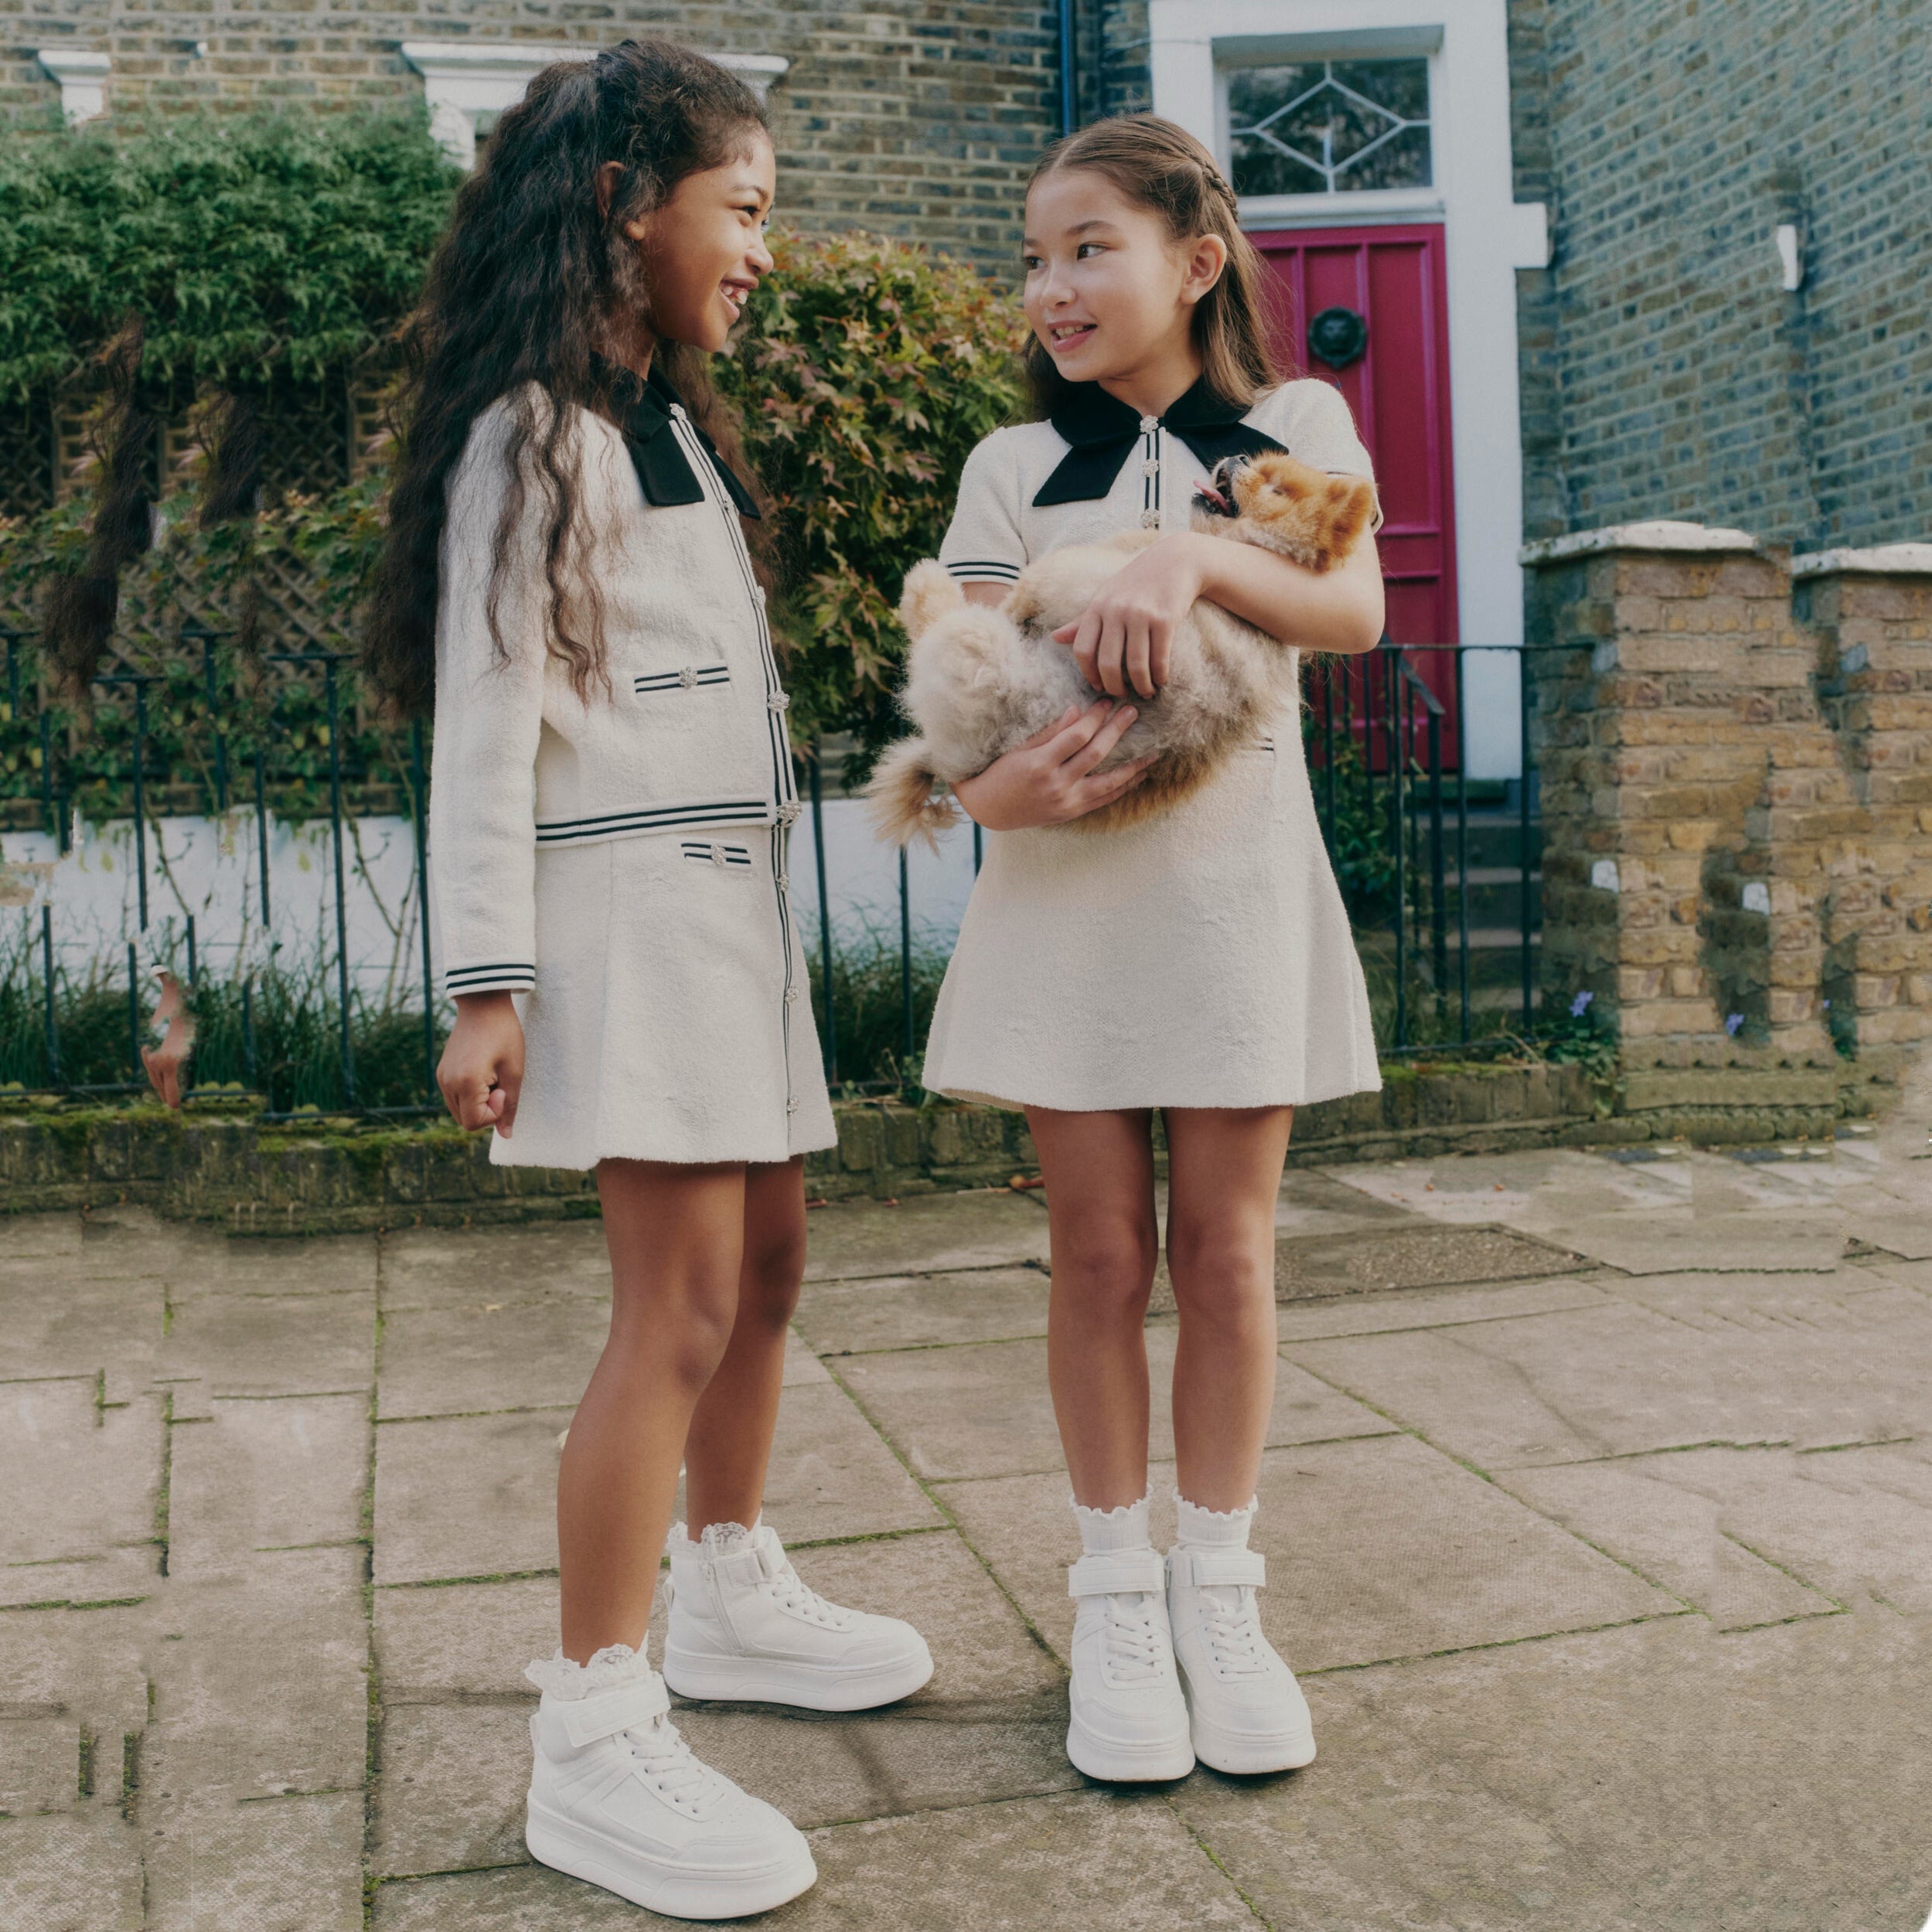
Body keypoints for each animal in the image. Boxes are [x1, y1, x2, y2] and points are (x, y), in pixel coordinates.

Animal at [869, 455, 1383, 850]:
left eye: (1276, 490)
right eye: (1256, 463)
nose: (1236, 457)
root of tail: (953, 761)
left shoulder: (1094, 584)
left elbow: (1033, 587)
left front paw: (1014, 605)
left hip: (978, 659)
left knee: (948, 624)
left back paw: (924, 582)